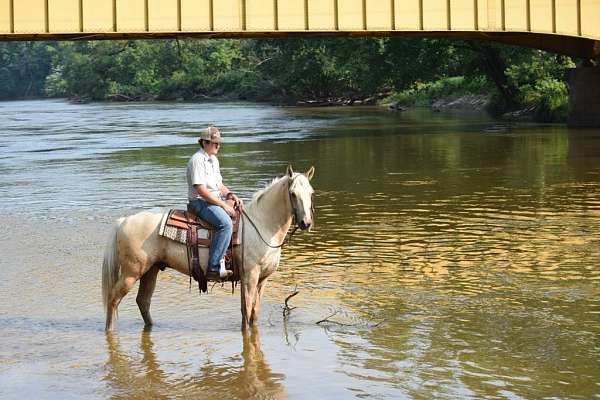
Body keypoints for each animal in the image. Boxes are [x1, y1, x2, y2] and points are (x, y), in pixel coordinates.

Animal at [101, 165, 314, 332]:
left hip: (150, 270)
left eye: (311, 193)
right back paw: (109, 331)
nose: (306, 223)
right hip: (131, 272)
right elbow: (246, 313)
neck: (261, 224)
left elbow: (253, 314)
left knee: (143, 301)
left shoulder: (262, 279)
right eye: (293, 193)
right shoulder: (250, 276)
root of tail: (123, 221)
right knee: (113, 299)